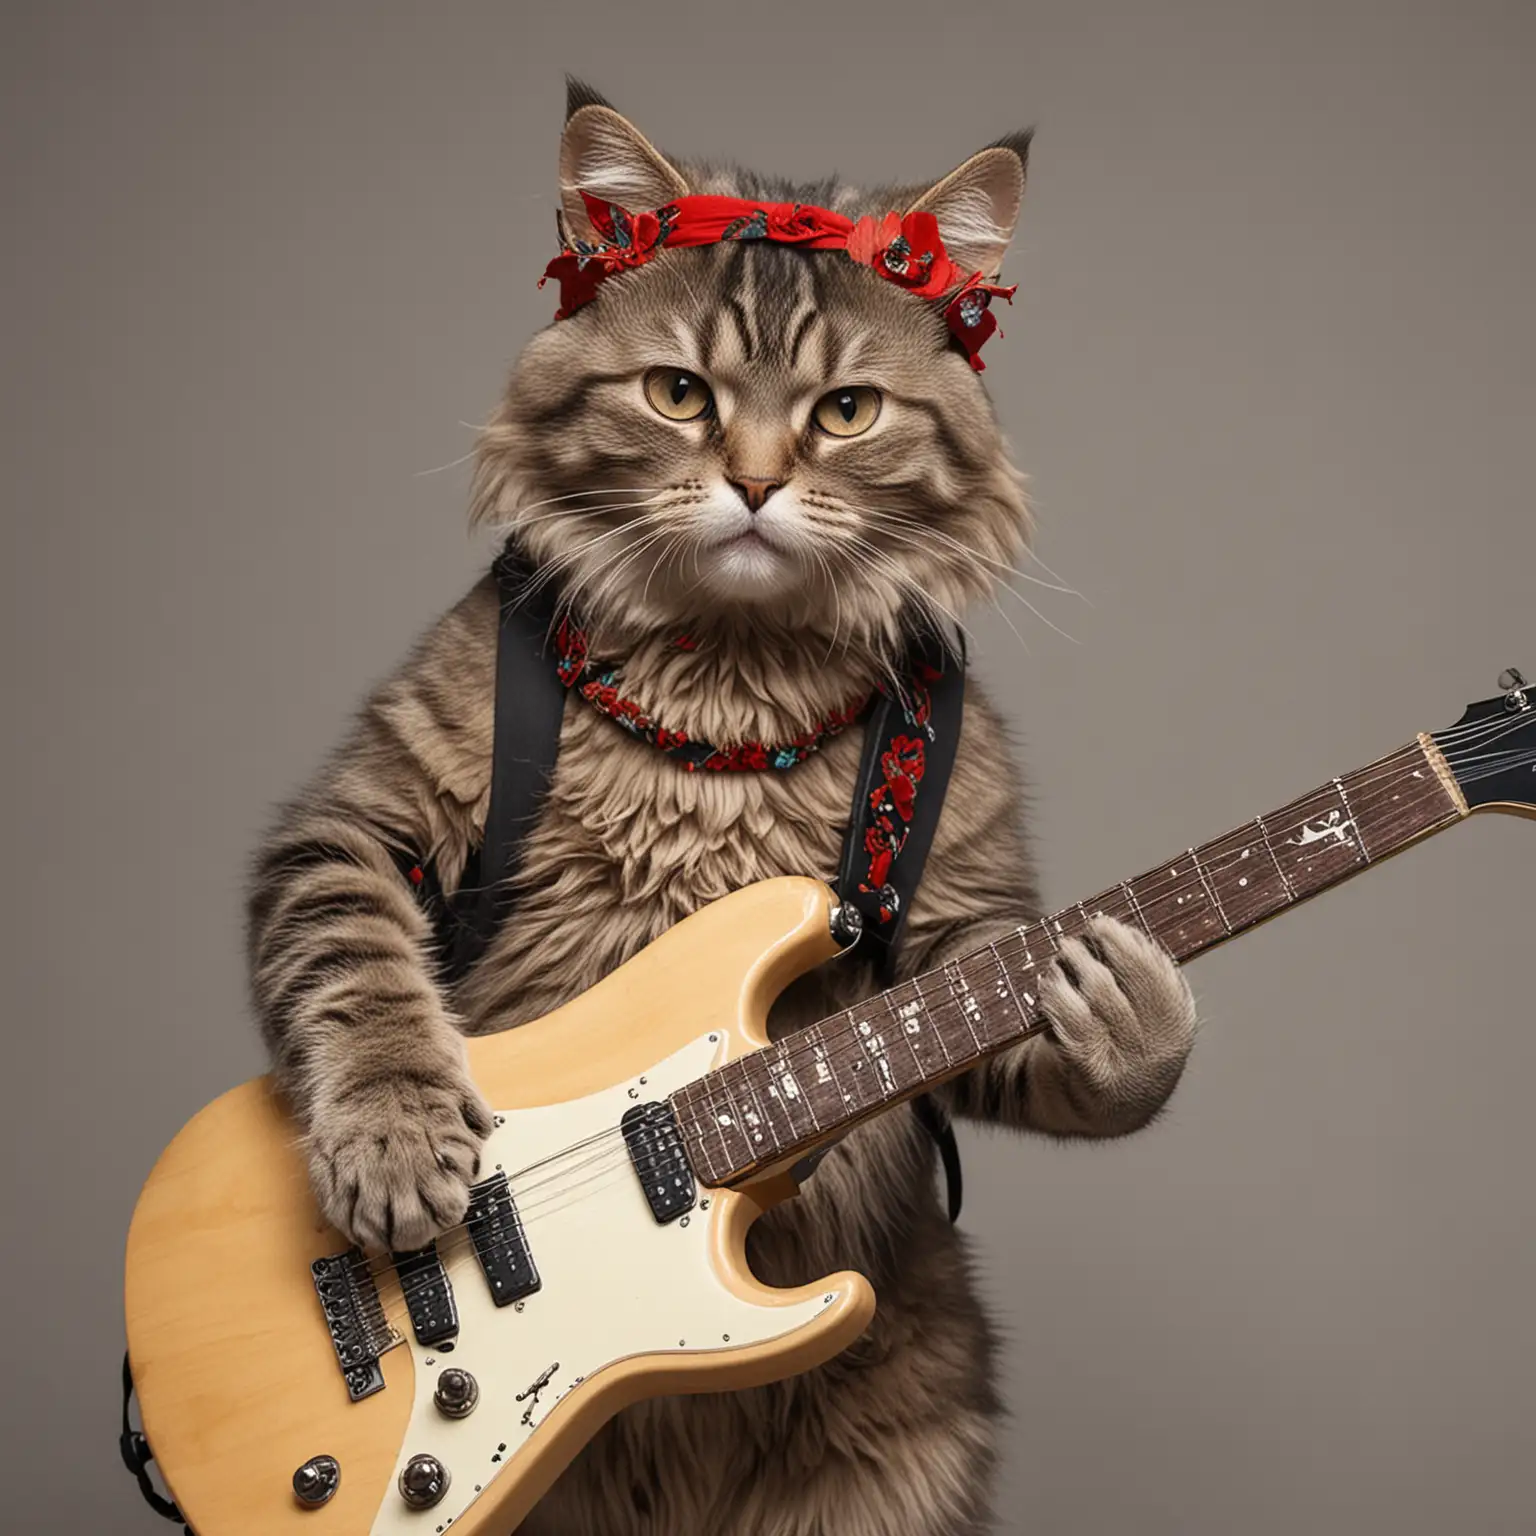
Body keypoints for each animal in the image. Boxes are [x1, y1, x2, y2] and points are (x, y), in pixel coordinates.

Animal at [248, 81, 1198, 1536]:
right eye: (679, 394)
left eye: (847, 411)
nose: (753, 484)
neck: (730, 686)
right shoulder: (363, 820)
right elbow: (358, 972)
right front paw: (399, 1146)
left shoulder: (960, 913)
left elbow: (1019, 1020)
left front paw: (1130, 1016)